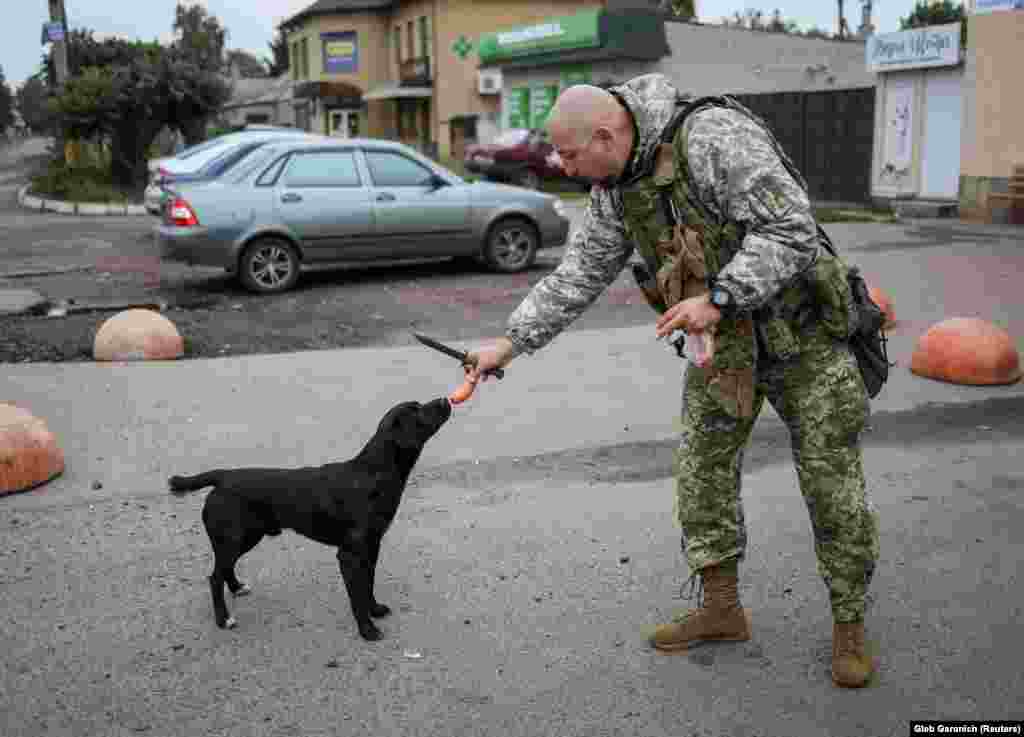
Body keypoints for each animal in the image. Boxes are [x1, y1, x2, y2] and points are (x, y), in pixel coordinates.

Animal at [166, 397, 448, 638]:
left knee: (224, 570)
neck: (373, 473)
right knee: (214, 577)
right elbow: (357, 595)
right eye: (416, 411)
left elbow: (368, 584)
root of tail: (223, 476)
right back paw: (223, 619)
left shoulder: (372, 546)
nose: (445, 400)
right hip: (235, 539)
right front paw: (367, 630)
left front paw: (375, 610)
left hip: (245, 538)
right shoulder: (350, 554)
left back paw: (237, 588)